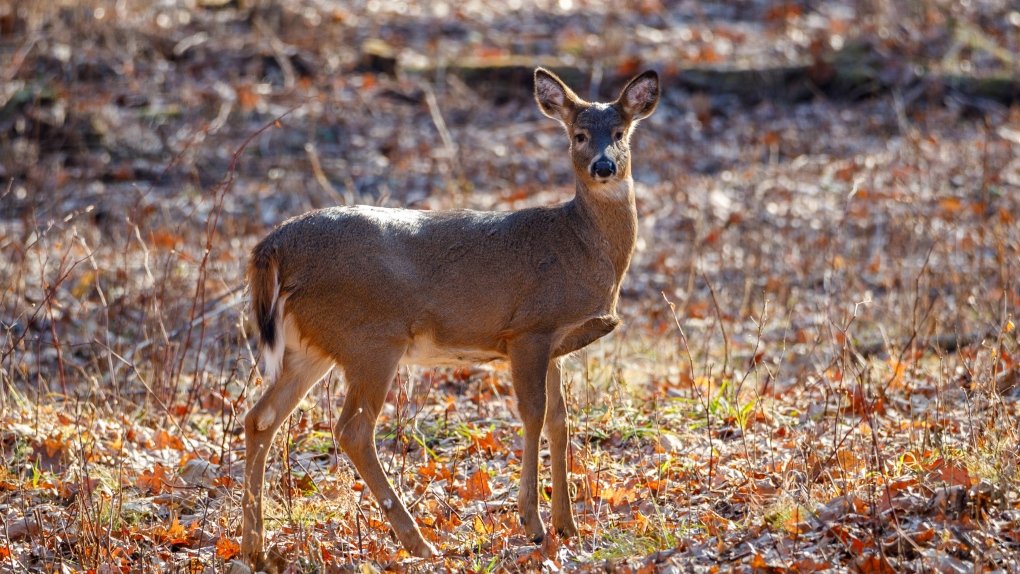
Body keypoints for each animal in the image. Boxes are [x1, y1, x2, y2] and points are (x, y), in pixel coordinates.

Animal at [241, 67, 659, 566]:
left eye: (619, 133)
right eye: (578, 134)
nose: (603, 166)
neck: (579, 246)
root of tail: (273, 245)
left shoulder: (556, 344)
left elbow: (560, 421)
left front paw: (567, 524)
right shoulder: (529, 328)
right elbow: (534, 414)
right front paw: (533, 523)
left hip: (311, 346)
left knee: (260, 418)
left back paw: (255, 549)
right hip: (372, 337)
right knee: (353, 429)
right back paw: (418, 542)